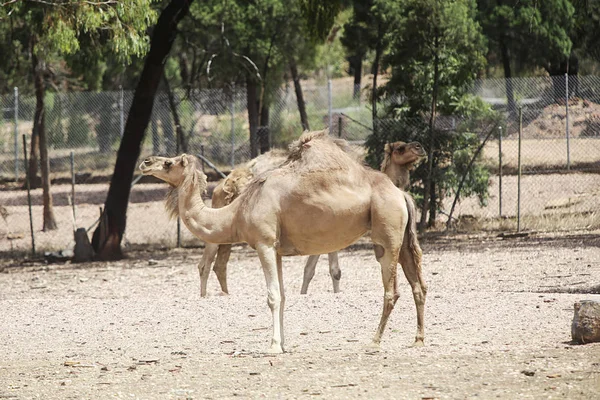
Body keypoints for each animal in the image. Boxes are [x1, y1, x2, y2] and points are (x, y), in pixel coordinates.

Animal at [195, 141, 424, 296]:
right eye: (400, 148)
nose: (419, 148)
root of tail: (224, 183)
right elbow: (328, 269)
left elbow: (315, 268)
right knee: (206, 262)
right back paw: (205, 296)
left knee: (220, 263)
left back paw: (225, 293)